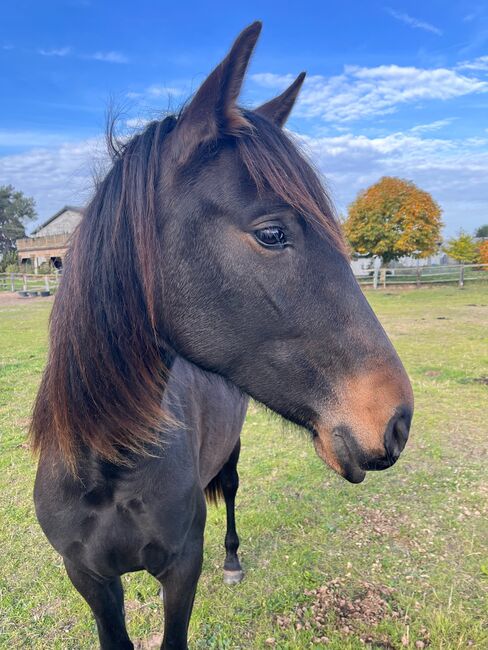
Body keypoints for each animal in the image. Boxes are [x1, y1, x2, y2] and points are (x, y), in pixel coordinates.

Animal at [29, 21, 412, 648]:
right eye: (273, 233)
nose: (397, 422)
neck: (109, 468)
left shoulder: (182, 566)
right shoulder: (88, 578)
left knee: (230, 492)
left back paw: (233, 562)